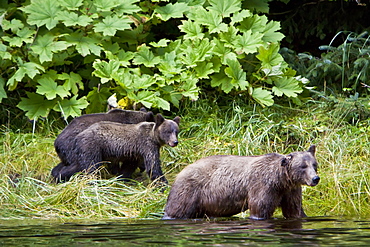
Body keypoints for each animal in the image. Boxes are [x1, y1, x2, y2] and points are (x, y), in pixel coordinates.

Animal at [51, 114, 181, 183]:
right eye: (168, 131)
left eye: (177, 131)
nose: (175, 142)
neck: (154, 138)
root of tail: (78, 137)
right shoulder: (147, 146)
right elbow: (153, 166)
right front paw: (163, 184)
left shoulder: (134, 152)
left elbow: (129, 166)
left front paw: (123, 177)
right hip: (92, 147)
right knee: (91, 167)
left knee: (74, 165)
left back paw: (58, 175)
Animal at [163, 145, 320, 220]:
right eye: (303, 166)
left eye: (314, 165)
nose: (315, 178)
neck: (280, 180)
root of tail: (181, 170)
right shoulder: (262, 186)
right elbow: (260, 209)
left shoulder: (290, 190)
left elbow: (294, 210)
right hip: (190, 191)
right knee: (177, 209)